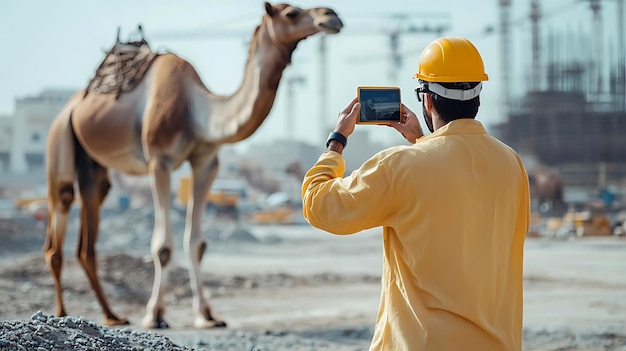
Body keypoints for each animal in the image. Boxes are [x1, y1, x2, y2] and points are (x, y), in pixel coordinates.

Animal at [44, 1, 342, 328]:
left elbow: (197, 244)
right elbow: (162, 246)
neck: (196, 110)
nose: (331, 16)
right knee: (61, 207)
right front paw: (154, 315)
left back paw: (113, 316)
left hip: (91, 161)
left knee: (90, 213)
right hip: (60, 133)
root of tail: (75, 102)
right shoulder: (159, 161)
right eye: (291, 13)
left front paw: (207, 315)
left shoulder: (206, 163)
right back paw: (61, 312)